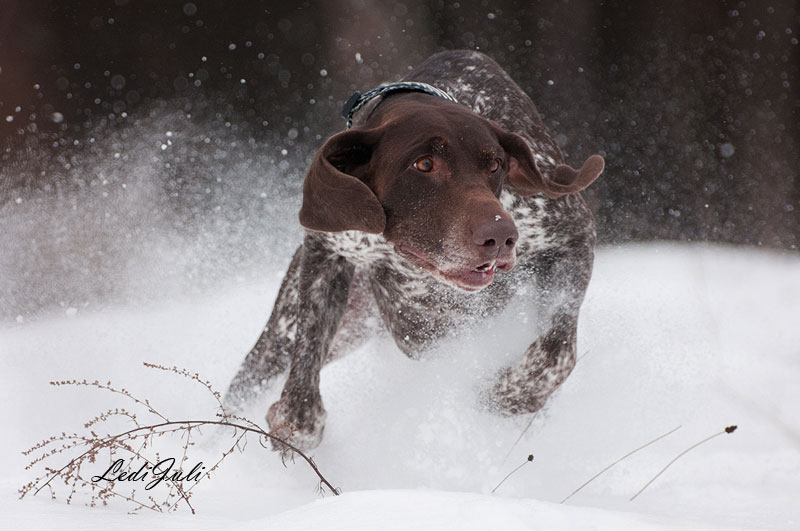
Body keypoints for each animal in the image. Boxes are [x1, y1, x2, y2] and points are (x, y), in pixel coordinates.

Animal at [228, 50, 604, 450]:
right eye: (423, 164)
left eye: (495, 164)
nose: (501, 236)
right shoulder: (327, 253)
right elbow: (307, 356)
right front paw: (297, 421)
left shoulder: (572, 238)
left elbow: (555, 351)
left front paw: (509, 394)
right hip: (285, 337)